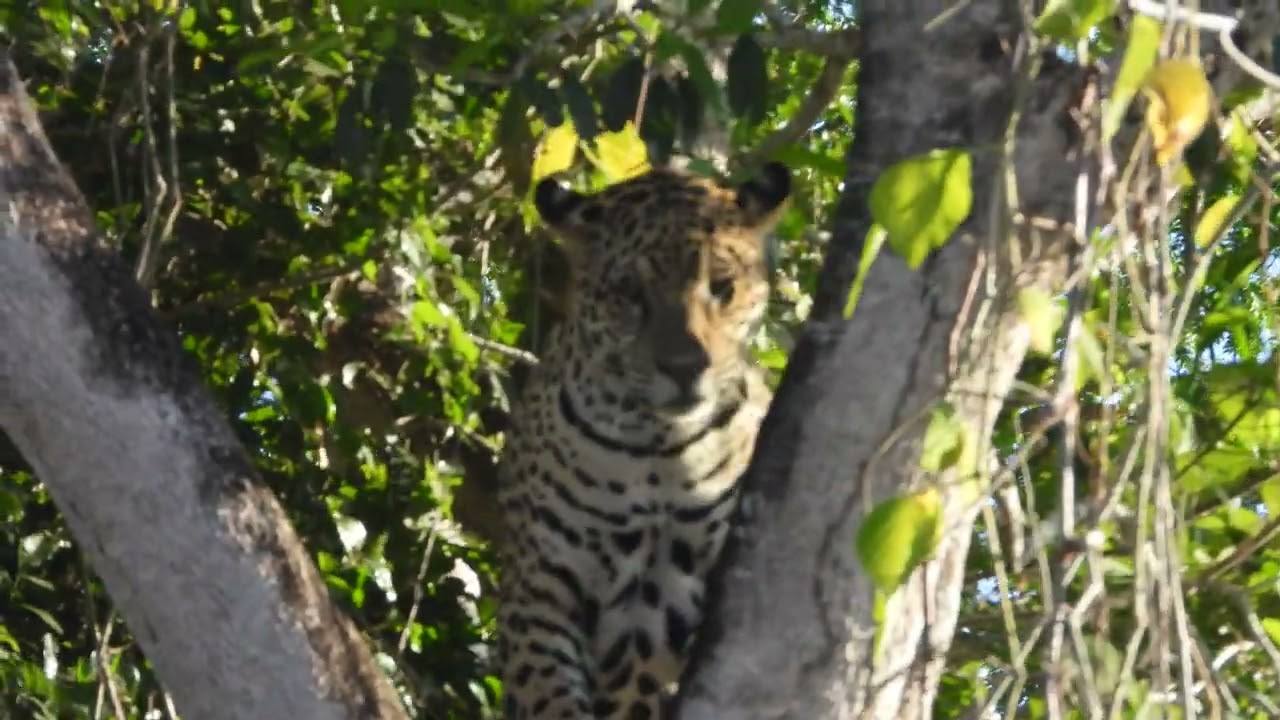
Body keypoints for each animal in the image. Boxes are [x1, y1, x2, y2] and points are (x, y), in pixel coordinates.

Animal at [496, 160, 792, 720]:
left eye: (721, 287)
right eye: (629, 295)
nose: (686, 366)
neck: (654, 446)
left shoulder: (662, 589)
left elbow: (637, 685)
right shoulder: (540, 583)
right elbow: (545, 687)